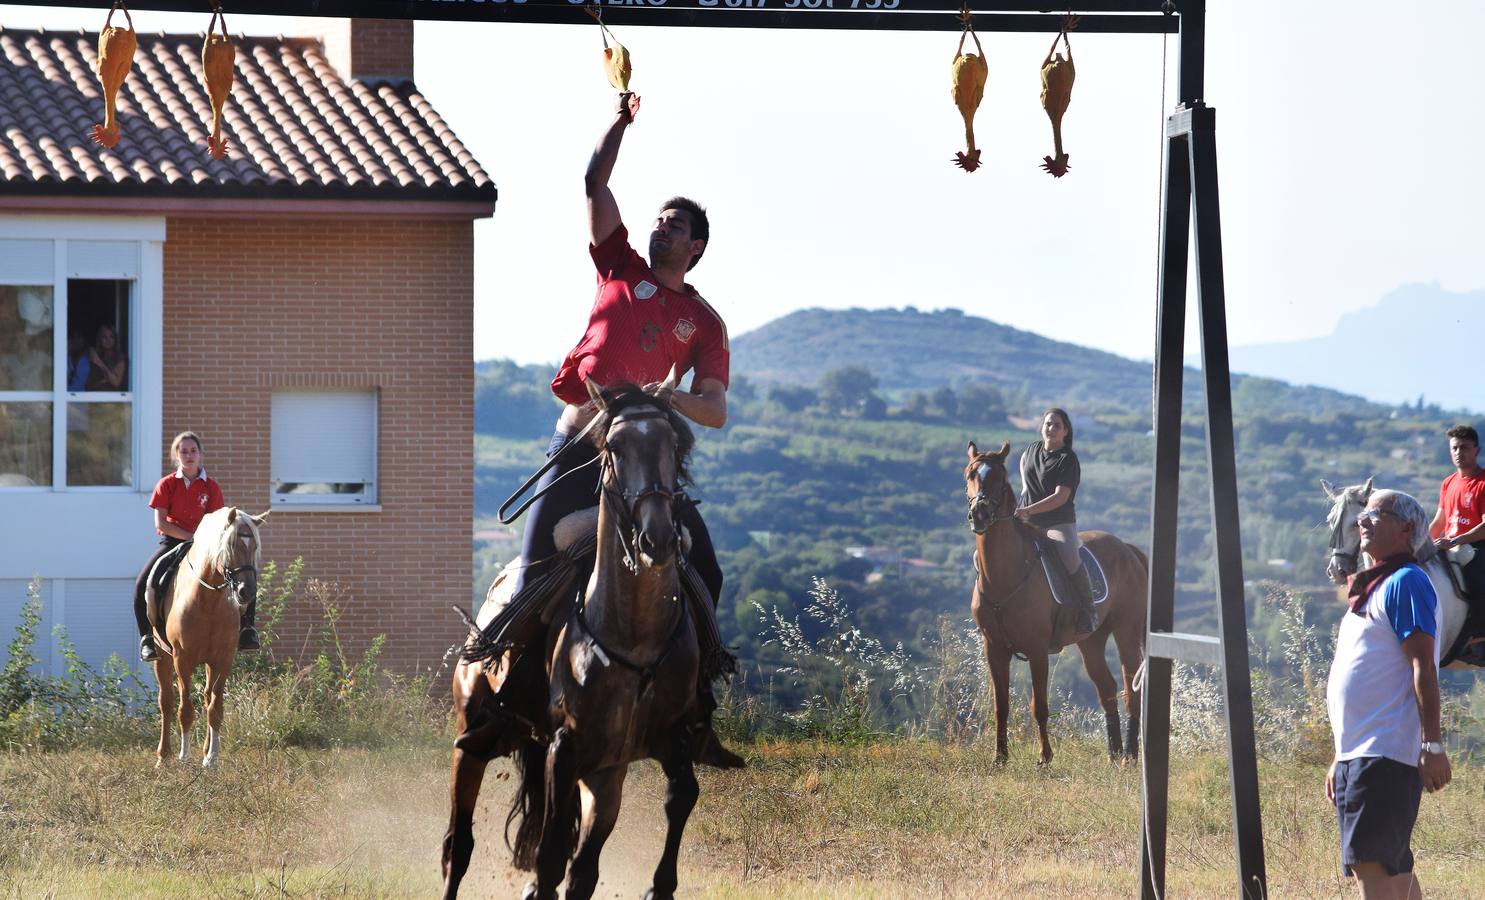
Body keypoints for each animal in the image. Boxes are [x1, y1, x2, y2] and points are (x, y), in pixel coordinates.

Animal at [152, 507, 268, 766]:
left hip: (208, 662)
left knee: (206, 698)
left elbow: (216, 708)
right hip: (161, 655)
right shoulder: (182, 660)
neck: (208, 601)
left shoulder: (223, 659)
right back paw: (163, 757)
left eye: (255, 546)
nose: (247, 591)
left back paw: (205, 750)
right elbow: (185, 709)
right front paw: (184, 757)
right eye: (232, 545)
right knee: (166, 702)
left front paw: (211, 760)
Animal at [962, 439, 1146, 766]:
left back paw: (1129, 756)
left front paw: (1045, 757)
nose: (980, 513)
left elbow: (1040, 706)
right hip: (1091, 640)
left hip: (1126, 630)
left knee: (1130, 688)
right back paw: (1113, 755)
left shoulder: (1037, 650)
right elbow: (1001, 706)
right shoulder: (994, 649)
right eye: (970, 474)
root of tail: (1128, 549)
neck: (1005, 575)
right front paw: (1000, 758)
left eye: (1000, 479)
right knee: (1107, 687)